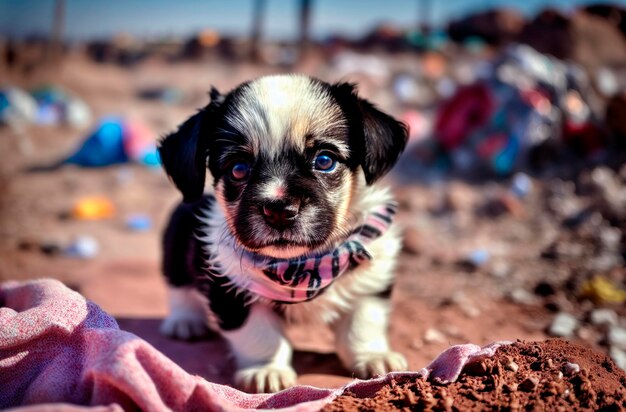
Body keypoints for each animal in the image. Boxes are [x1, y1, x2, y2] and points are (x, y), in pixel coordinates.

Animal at [158, 74, 408, 392]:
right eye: (238, 168)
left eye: (325, 160)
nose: (278, 210)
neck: (304, 265)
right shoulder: (231, 291)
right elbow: (260, 334)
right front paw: (267, 370)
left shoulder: (370, 277)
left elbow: (363, 323)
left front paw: (374, 357)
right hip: (176, 248)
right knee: (178, 286)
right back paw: (185, 321)